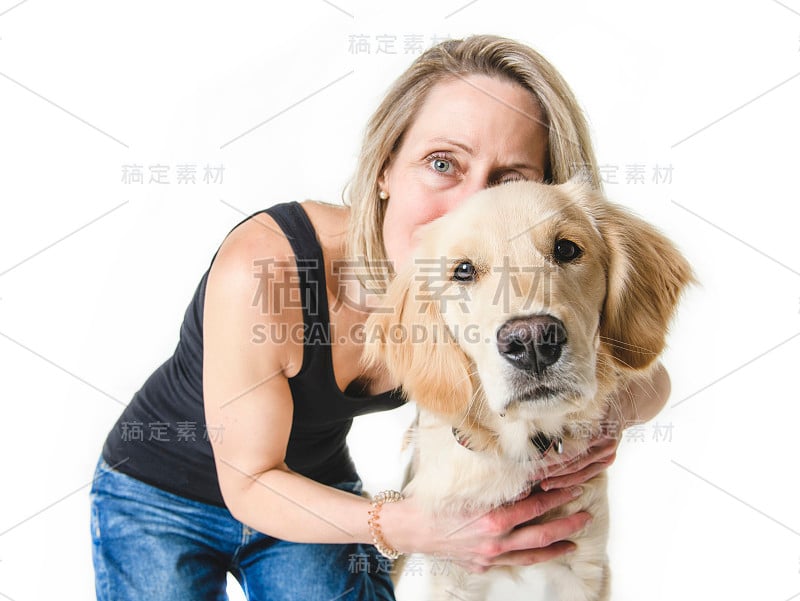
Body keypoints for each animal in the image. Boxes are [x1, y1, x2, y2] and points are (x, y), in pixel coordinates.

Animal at [362, 178, 692, 600]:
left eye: (566, 248)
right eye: (463, 270)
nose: (532, 340)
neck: (522, 446)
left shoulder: (584, 566)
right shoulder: (452, 571)